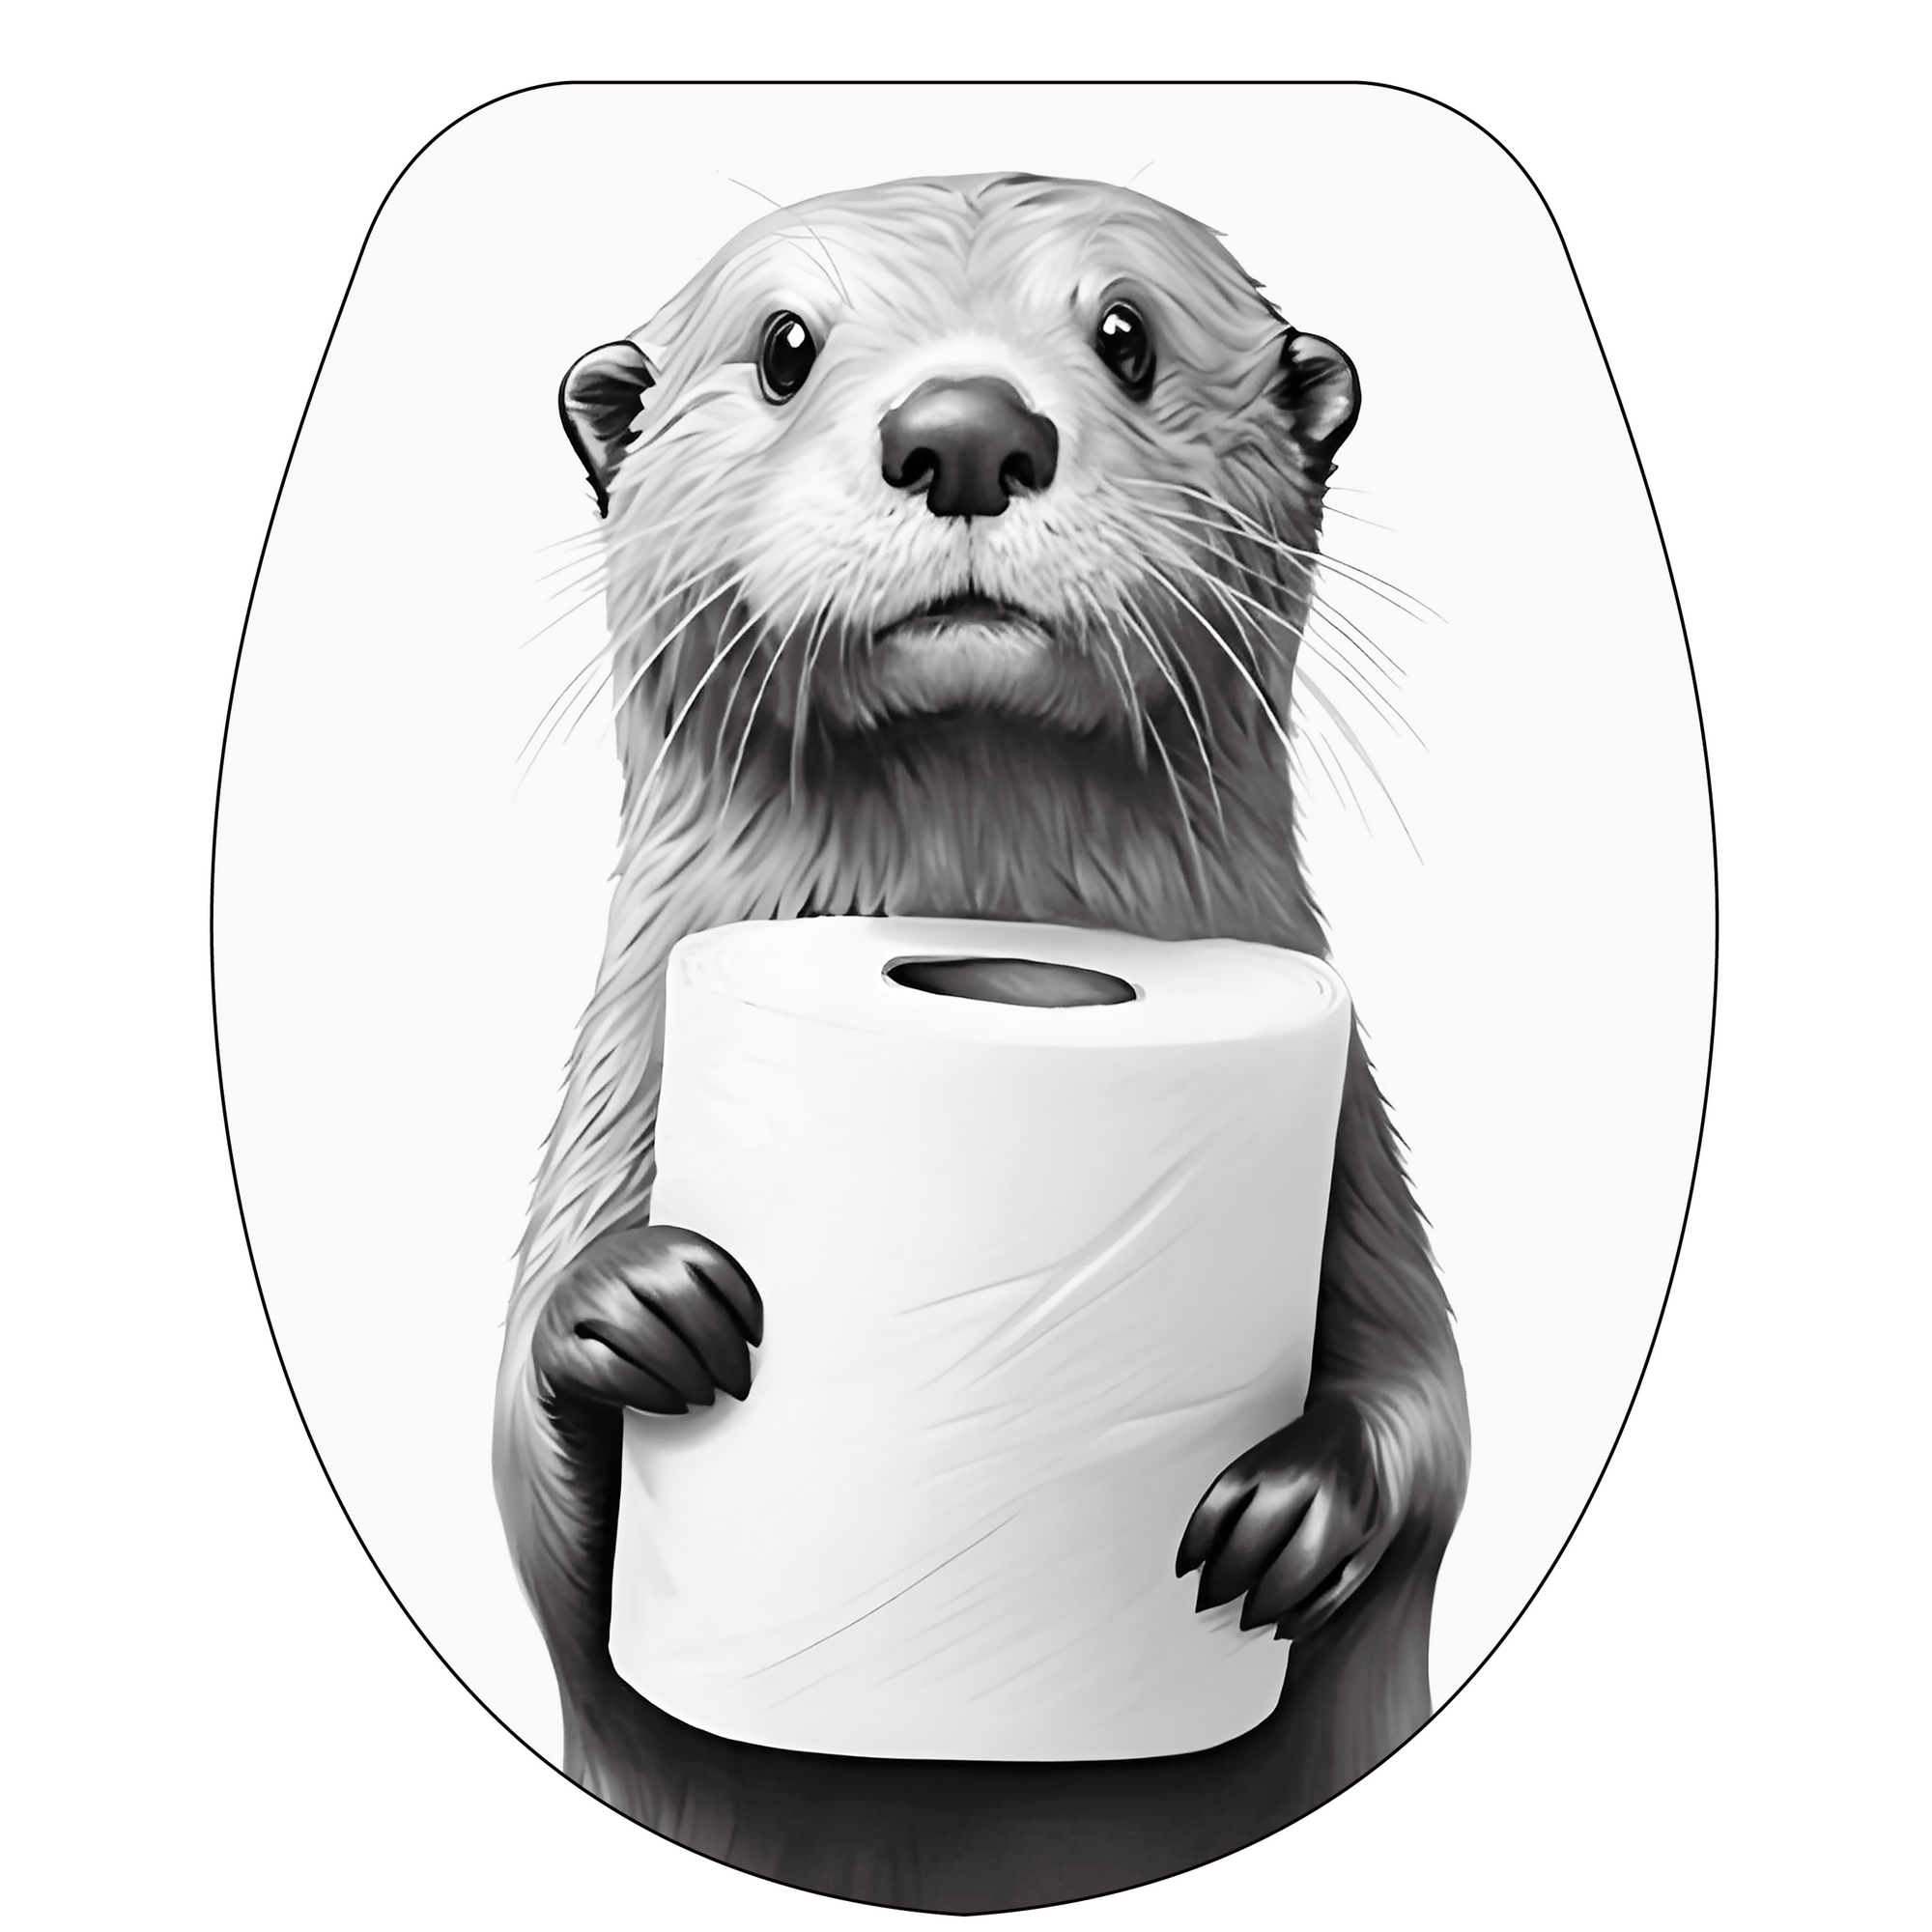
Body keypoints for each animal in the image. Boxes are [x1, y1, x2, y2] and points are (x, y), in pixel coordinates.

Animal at [493, 172, 1469, 1911]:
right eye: (785, 345)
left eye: (1128, 334)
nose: (963, 429)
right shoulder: (613, 1111)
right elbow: (535, 1518)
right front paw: (634, 1309)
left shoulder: (1360, 1163)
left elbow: (1438, 1427)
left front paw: (1296, 1509)